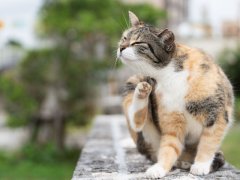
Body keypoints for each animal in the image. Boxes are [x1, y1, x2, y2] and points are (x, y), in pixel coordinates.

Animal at [119, 11, 233, 179]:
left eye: (138, 43)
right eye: (124, 38)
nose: (120, 47)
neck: (167, 75)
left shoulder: (217, 113)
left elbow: (209, 141)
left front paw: (200, 166)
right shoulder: (171, 118)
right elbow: (169, 146)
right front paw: (159, 169)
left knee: (218, 156)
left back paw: (187, 163)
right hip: (135, 80)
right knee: (137, 121)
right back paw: (142, 92)